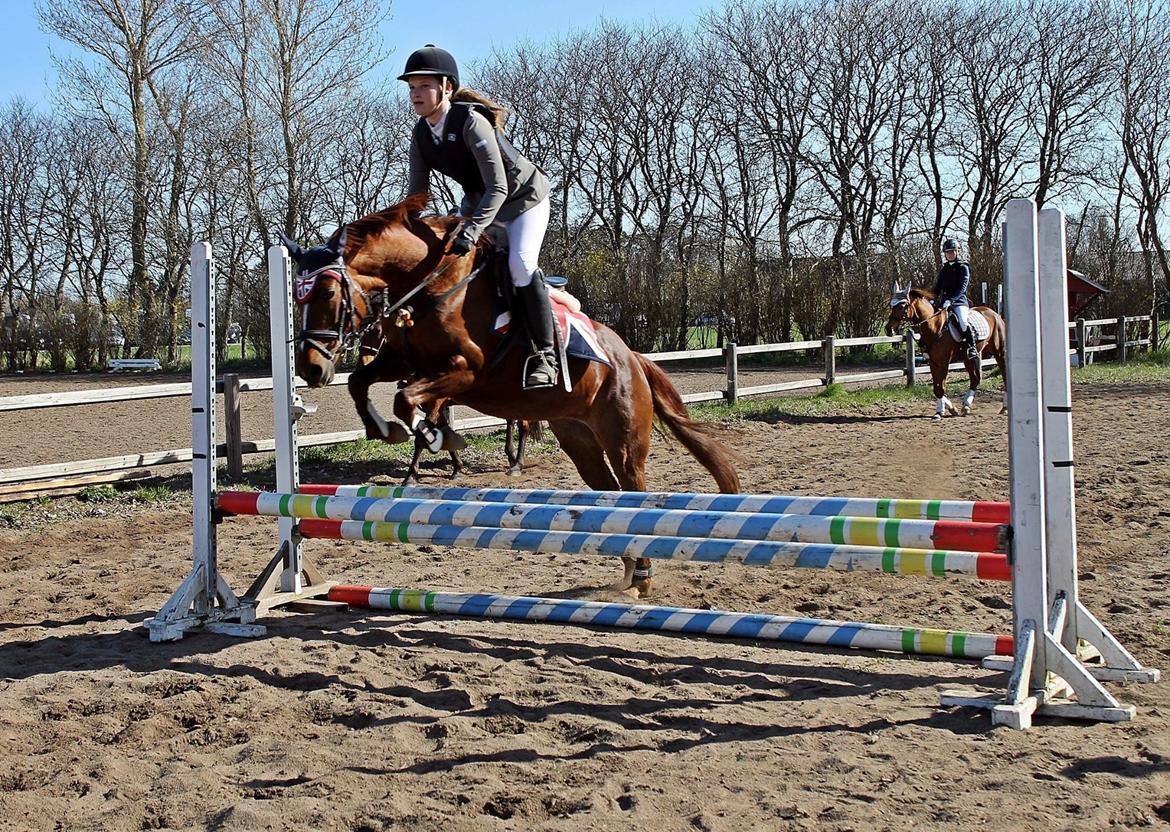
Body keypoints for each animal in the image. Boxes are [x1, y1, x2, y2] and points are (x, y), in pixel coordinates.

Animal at [284, 193, 739, 599]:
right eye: (296, 296)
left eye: (327, 293)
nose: (310, 368)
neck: (434, 283)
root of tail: (632, 358)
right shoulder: (403, 361)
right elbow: (362, 383)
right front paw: (388, 430)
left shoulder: (464, 370)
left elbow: (409, 401)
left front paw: (431, 435)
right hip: (581, 443)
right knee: (609, 495)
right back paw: (628, 571)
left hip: (623, 441)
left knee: (633, 492)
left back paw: (642, 576)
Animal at [884, 286, 1006, 418]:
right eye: (892, 306)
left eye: (901, 307)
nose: (888, 330)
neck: (935, 327)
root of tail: (994, 313)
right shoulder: (933, 362)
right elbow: (936, 388)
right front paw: (946, 410)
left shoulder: (943, 363)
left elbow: (941, 387)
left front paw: (942, 411)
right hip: (968, 358)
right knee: (975, 379)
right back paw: (966, 406)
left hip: (999, 353)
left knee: (1004, 374)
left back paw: (1004, 407)